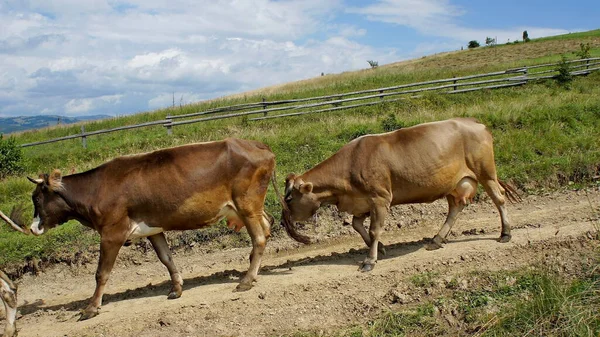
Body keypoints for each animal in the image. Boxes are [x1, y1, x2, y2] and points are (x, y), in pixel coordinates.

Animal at [22, 138, 276, 318]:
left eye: (37, 199)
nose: (32, 228)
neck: (95, 190)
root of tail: (255, 144)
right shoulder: (153, 229)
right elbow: (167, 259)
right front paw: (176, 288)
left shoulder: (111, 233)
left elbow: (101, 273)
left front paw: (91, 308)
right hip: (247, 208)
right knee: (267, 225)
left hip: (247, 204)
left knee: (259, 237)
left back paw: (246, 280)